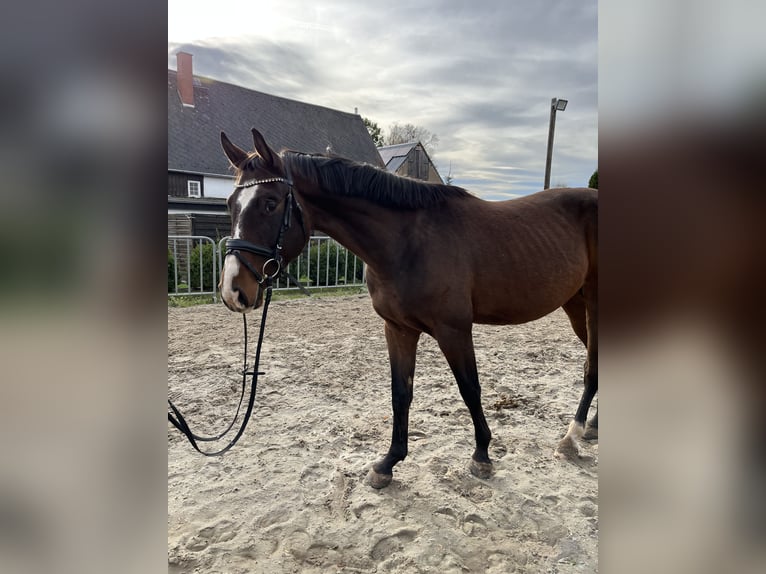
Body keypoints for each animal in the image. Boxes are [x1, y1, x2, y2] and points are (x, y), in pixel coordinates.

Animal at [218, 128, 598, 489]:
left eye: (269, 203)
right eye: (230, 203)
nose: (232, 291)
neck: (408, 242)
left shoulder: (454, 330)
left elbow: (470, 389)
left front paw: (482, 456)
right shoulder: (398, 328)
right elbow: (400, 394)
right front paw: (388, 463)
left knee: (591, 367)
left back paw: (572, 438)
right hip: (575, 305)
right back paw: (590, 427)